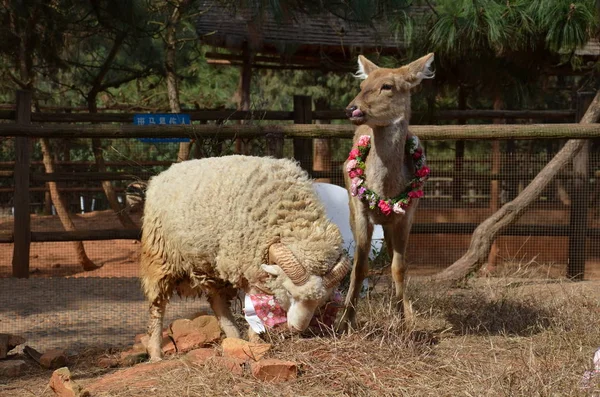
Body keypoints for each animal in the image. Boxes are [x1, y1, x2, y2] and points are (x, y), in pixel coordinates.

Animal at [139, 156, 352, 360]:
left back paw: (235, 337)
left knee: (217, 300)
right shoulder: (250, 264)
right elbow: (255, 307)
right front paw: (257, 342)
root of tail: (162, 175)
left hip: (211, 262)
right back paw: (156, 353)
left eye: (321, 301)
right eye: (289, 292)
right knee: (157, 306)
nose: (297, 328)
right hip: (160, 256)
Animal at [338, 53, 432, 332]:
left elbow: (399, 266)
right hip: (351, 206)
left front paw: (404, 322)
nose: (351, 109)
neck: (386, 189)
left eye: (387, 86)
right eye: (362, 84)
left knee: (393, 257)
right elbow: (360, 266)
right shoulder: (360, 211)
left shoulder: (407, 214)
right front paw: (345, 321)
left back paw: (407, 311)